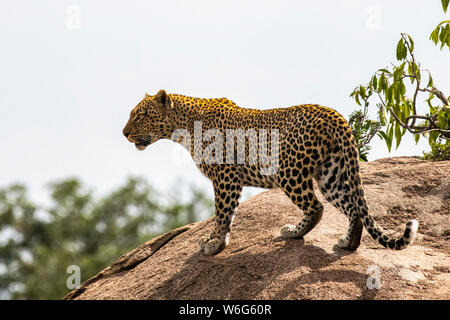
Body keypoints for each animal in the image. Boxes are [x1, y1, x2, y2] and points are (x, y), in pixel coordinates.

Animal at [122, 89, 418, 255]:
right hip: (330, 173)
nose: (124, 133)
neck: (182, 127)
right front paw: (217, 241)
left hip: (290, 172)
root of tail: (334, 115)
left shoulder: (225, 177)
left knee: (316, 207)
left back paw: (293, 232)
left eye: (140, 116)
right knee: (352, 208)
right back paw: (347, 243)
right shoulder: (230, 180)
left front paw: (214, 244)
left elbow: (222, 214)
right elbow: (226, 214)